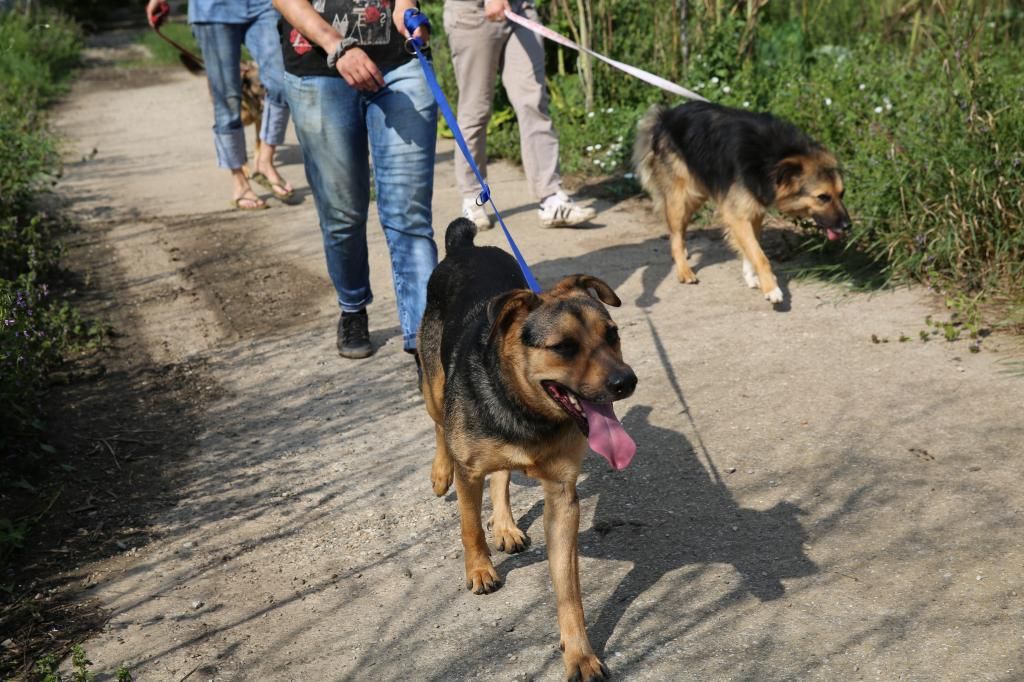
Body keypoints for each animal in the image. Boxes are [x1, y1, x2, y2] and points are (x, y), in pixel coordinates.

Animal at [417, 219, 638, 679]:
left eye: (612, 335)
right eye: (564, 347)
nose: (626, 382)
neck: (525, 410)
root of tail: (465, 246)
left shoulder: (563, 498)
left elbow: (569, 590)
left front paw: (579, 653)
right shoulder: (470, 473)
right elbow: (469, 526)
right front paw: (480, 569)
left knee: (501, 474)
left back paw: (505, 525)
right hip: (432, 387)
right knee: (438, 425)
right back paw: (440, 471)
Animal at [634, 100, 851, 303]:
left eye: (842, 194)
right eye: (823, 197)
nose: (848, 226)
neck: (771, 159)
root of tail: (666, 115)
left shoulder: (753, 211)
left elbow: (750, 249)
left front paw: (751, 277)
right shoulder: (737, 215)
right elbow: (759, 255)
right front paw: (771, 288)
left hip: (696, 194)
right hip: (681, 197)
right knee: (676, 234)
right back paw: (684, 270)